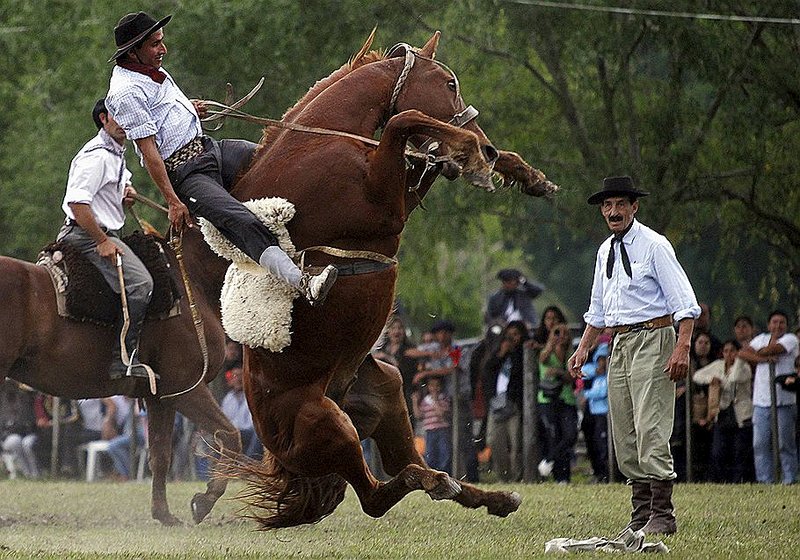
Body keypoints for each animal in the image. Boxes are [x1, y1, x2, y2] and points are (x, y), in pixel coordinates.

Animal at [0, 228, 241, 524]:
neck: (190, 279)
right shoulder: (186, 387)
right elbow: (229, 435)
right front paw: (204, 501)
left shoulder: (160, 396)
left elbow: (160, 454)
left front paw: (164, 514)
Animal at [225, 31, 560, 528]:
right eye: (448, 83)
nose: (488, 146)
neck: (319, 146)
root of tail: (271, 444)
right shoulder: (384, 208)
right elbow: (405, 119)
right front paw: (472, 156)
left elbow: (419, 145)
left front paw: (522, 172)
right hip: (330, 426)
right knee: (375, 495)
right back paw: (437, 481)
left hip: (388, 393)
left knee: (405, 466)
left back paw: (490, 496)